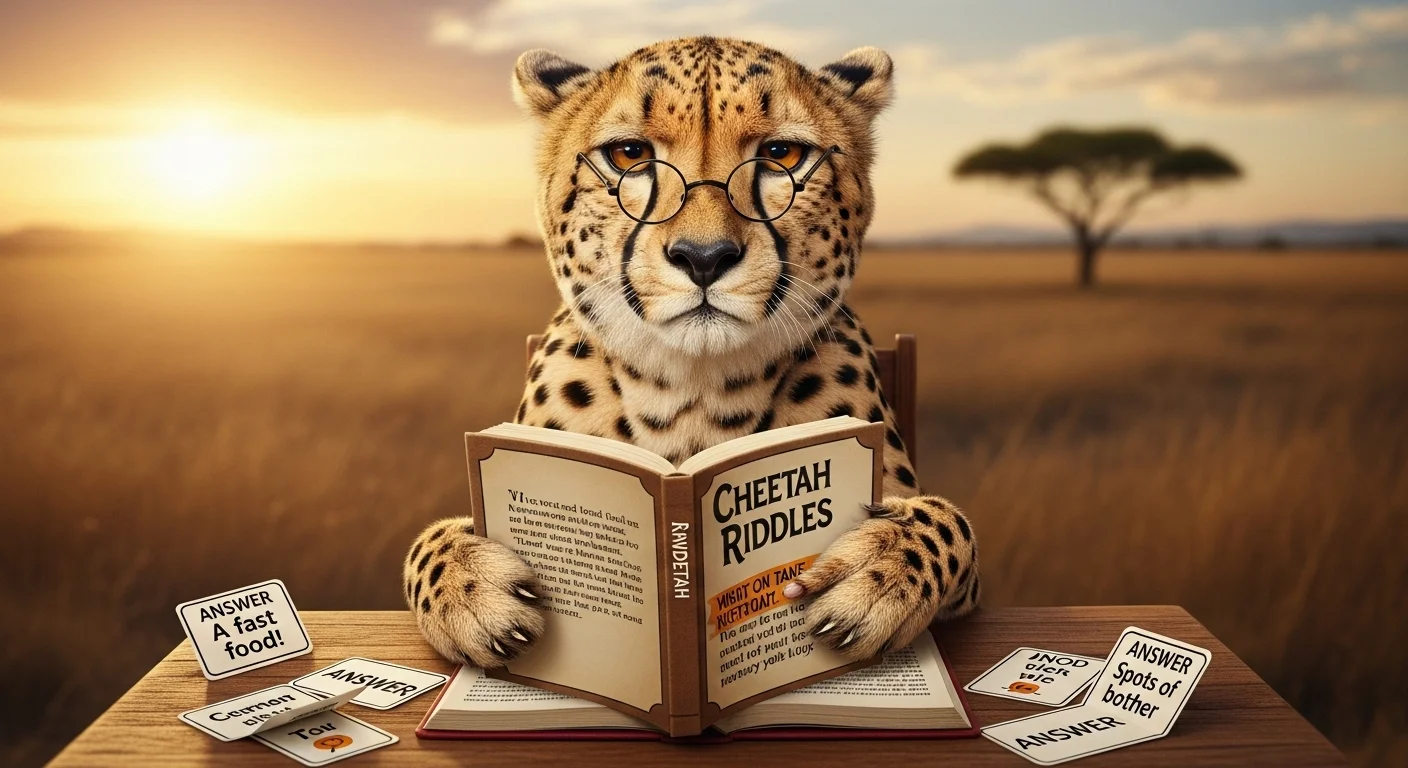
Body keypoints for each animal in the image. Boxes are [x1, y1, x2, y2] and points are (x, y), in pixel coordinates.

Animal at [402, 36, 980, 669]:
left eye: (781, 153)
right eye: (629, 154)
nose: (704, 257)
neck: (692, 394)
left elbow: (950, 521)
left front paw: (878, 570)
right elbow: (428, 540)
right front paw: (472, 587)